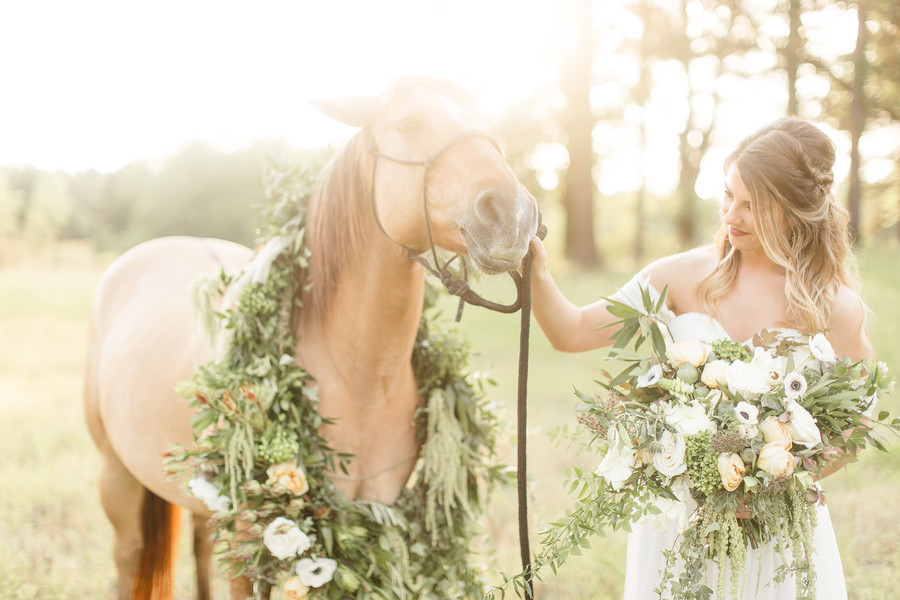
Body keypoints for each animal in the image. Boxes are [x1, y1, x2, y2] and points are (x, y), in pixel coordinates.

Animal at [84, 76, 536, 600]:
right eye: (408, 123)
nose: (515, 214)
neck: (360, 376)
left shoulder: (377, 517)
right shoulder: (247, 544)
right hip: (117, 479)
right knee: (129, 555)